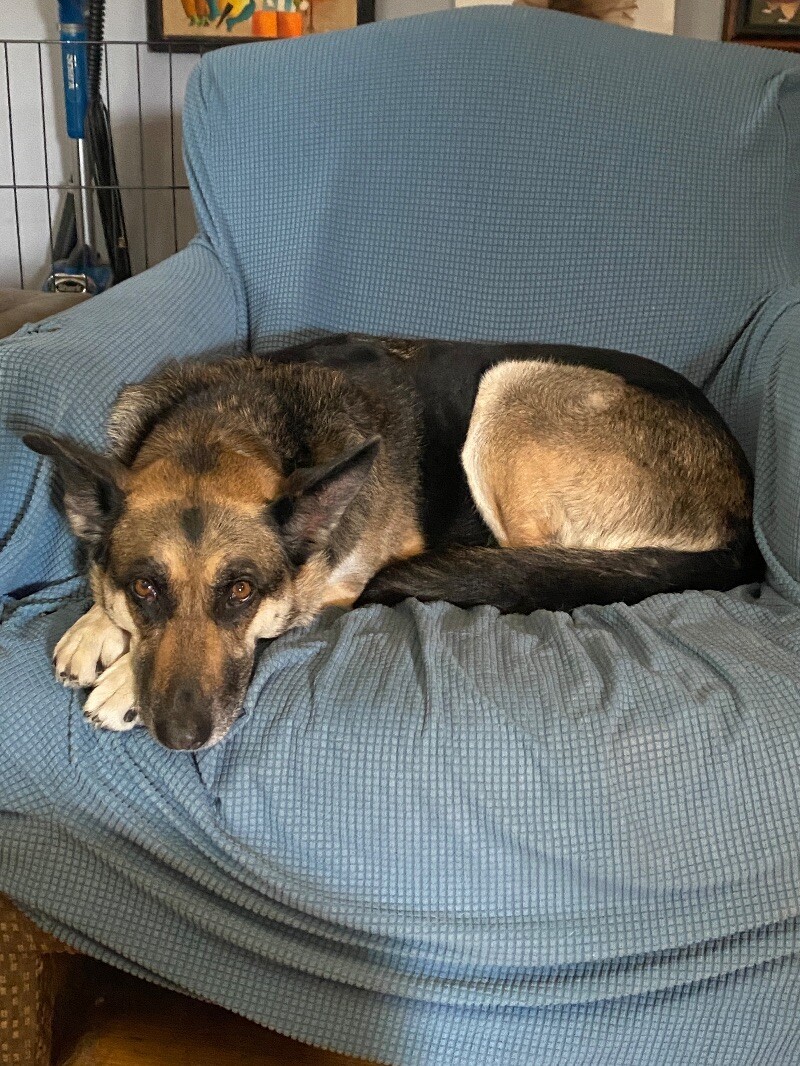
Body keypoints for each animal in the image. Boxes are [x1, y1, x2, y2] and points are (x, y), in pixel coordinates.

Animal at [25, 338, 763, 750]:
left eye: (240, 592)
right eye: (146, 588)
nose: (180, 737)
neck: (236, 419)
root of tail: (744, 520)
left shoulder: (329, 582)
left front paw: (122, 679)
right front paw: (96, 625)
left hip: (511, 388)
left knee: (535, 566)